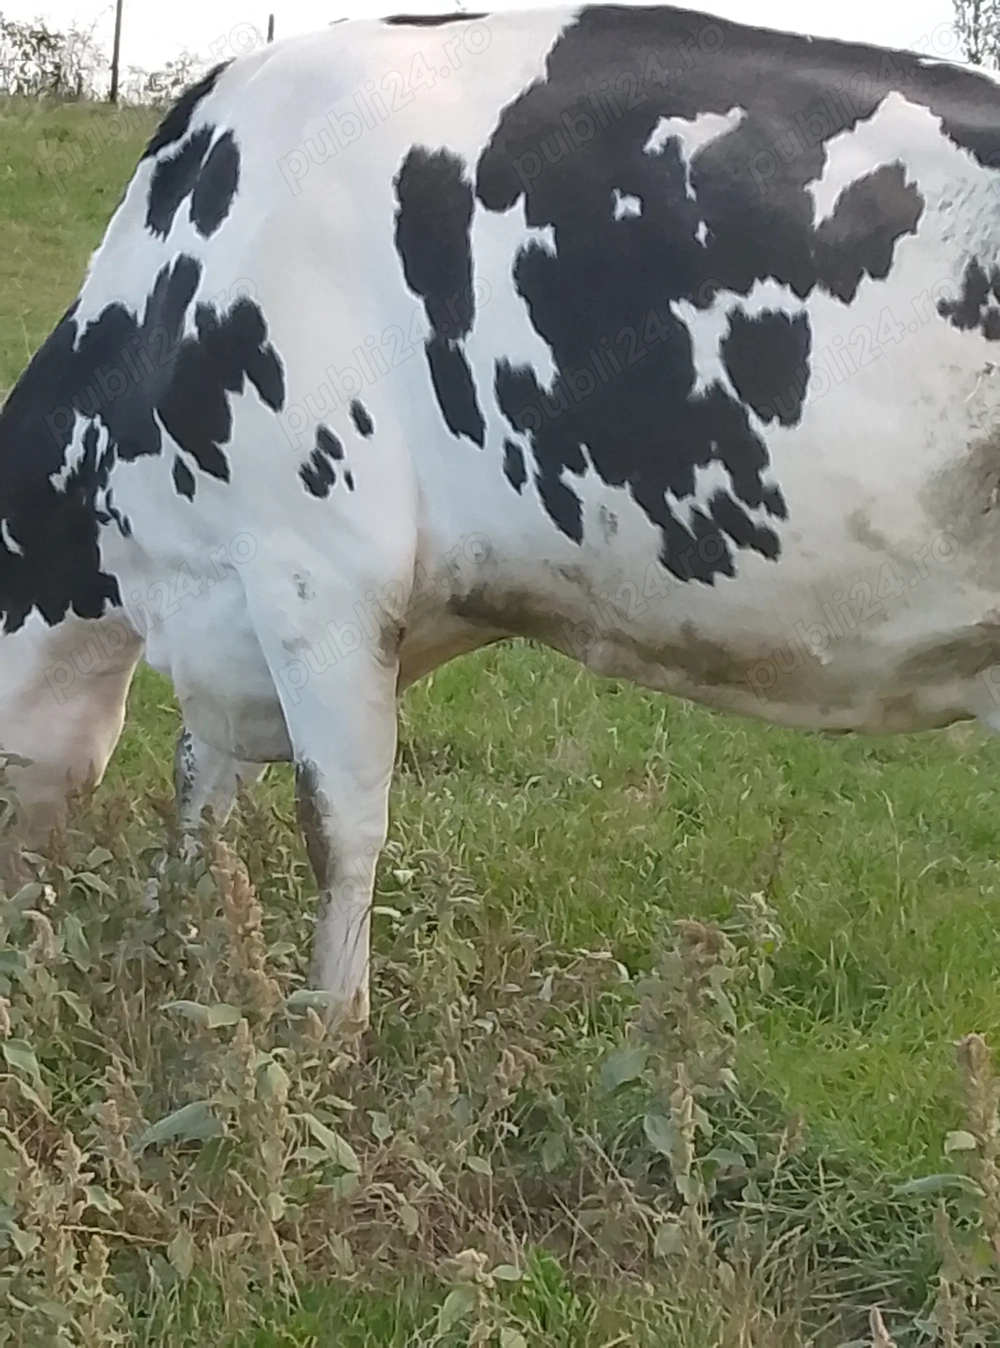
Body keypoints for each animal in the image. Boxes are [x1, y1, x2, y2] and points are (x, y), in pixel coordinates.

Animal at [4, 2, 1000, 1024]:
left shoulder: (319, 568)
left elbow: (337, 824)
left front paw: (330, 1031)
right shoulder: (235, 608)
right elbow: (201, 788)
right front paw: (171, 947)